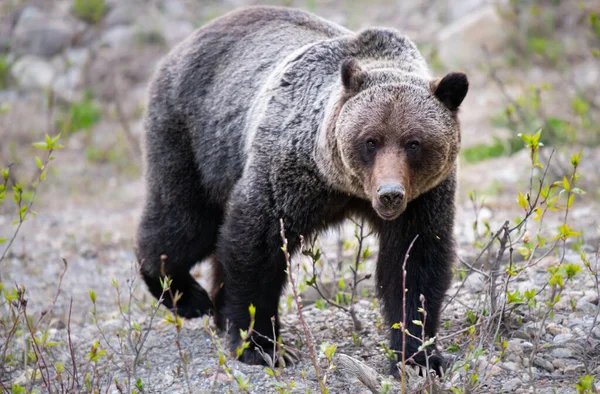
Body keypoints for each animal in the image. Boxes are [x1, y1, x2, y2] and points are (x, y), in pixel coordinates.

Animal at [136, 5, 468, 376]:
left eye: (414, 143)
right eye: (371, 140)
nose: (390, 193)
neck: (345, 188)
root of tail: (189, 40)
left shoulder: (424, 199)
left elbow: (414, 264)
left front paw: (419, 356)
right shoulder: (290, 175)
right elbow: (257, 246)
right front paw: (264, 346)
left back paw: (217, 311)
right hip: (193, 137)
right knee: (186, 221)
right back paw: (186, 295)